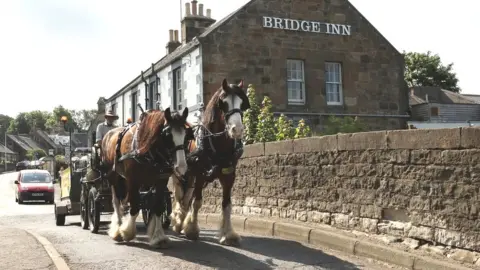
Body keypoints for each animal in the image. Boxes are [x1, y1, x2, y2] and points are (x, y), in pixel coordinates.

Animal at [100, 106, 188, 248]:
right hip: (113, 177)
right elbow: (135, 206)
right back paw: (117, 228)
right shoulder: (133, 180)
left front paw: (158, 237)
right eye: (167, 135)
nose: (181, 167)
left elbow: (157, 207)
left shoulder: (161, 180)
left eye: (186, 134)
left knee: (123, 201)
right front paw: (127, 232)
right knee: (116, 201)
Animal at [170, 78, 251, 245]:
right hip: (179, 174)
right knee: (178, 195)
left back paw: (181, 220)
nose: (237, 129)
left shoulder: (229, 176)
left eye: (242, 103)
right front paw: (192, 230)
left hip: (190, 177)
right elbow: (197, 202)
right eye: (224, 103)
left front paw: (228, 234)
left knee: (186, 197)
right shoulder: (200, 174)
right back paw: (177, 220)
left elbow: (227, 205)